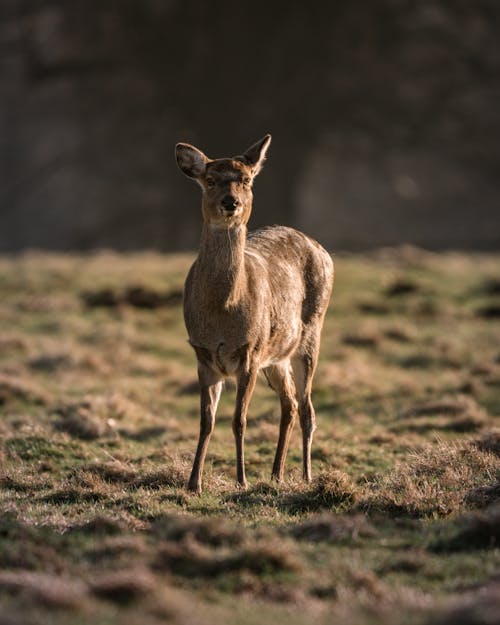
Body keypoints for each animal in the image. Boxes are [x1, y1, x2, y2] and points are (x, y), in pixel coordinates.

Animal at [174, 135, 334, 492]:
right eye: (210, 180)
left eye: (246, 179)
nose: (230, 202)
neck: (222, 311)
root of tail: (321, 248)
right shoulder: (203, 355)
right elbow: (206, 422)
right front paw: (193, 483)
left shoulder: (249, 352)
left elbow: (239, 421)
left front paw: (242, 480)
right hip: (275, 357)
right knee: (289, 404)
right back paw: (276, 474)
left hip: (309, 336)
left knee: (307, 407)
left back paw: (306, 475)